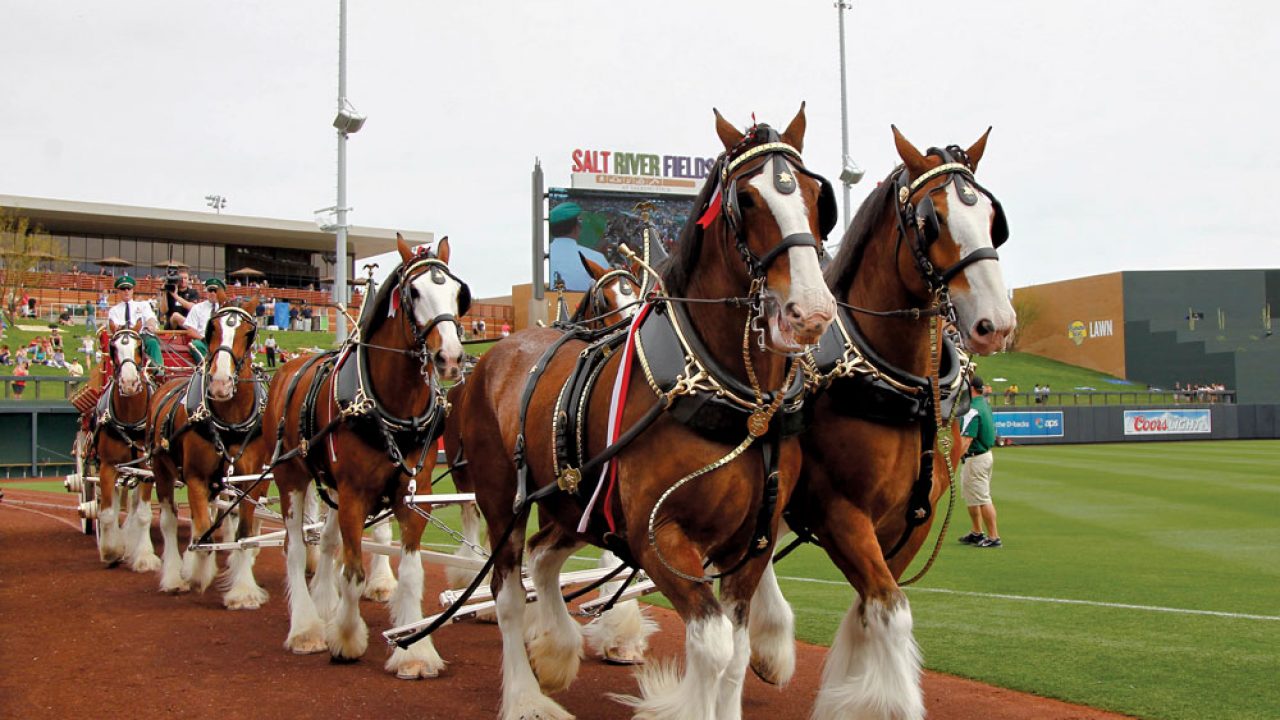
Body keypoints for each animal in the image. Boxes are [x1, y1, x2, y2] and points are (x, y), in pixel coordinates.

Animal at [89, 321, 162, 572]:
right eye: (112, 348)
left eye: (140, 346)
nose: (130, 383)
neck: (130, 419)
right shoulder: (108, 466)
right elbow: (107, 512)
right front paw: (111, 551)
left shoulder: (148, 469)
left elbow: (143, 513)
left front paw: (144, 555)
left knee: (133, 504)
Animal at [145, 299, 273, 609]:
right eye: (211, 328)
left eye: (248, 333)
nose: (220, 383)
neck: (229, 421)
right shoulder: (195, 477)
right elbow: (202, 531)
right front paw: (196, 573)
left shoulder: (249, 480)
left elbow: (243, 534)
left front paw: (243, 591)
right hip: (161, 470)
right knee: (170, 520)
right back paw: (174, 576)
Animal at [260, 235, 466, 679]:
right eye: (414, 292)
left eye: (458, 293)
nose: (451, 358)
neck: (390, 406)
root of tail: (288, 367)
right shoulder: (355, 493)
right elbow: (353, 572)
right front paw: (347, 638)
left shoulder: (413, 494)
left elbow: (411, 573)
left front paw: (414, 652)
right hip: (291, 477)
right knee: (296, 548)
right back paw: (307, 627)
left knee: (327, 543)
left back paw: (324, 604)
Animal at [446, 105, 836, 720]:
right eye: (747, 200)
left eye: (819, 197)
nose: (810, 311)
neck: (734, 399)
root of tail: (495, 355)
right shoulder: (657, 537)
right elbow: (713, 645)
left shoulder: (753, 542)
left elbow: (737, 650)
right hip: (501, 499)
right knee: (508, 593)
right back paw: (527, 695)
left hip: (576, 502)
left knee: (543, 558)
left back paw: (555, 649)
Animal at [748, 127, 1017, 720]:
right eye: (932, 220)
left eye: (993, 217)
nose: (996, 324)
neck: (898, 385)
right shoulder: (839, 511)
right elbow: (891, 609)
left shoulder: (912, 518)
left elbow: (874, 604)